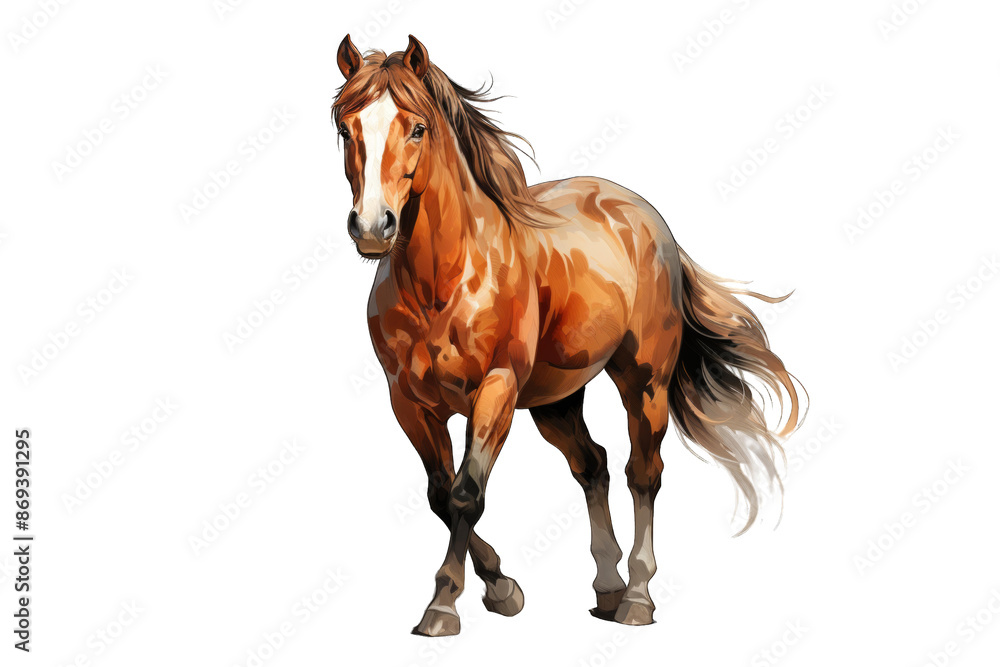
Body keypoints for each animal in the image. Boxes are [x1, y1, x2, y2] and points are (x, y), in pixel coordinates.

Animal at [332, 34, 804, 636]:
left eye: (417, 127)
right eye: (345, 128)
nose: (373, 227)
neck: (444, 278)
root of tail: (648, 218)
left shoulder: (497, 389)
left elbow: (466, 494)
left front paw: (443, 607)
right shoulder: (410, 402)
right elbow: (441, 495)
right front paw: (501, 588)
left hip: (643, 383)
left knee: (641, 473)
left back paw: (637, 598)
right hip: (555, 401)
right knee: (592, 465)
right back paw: (606, 589)